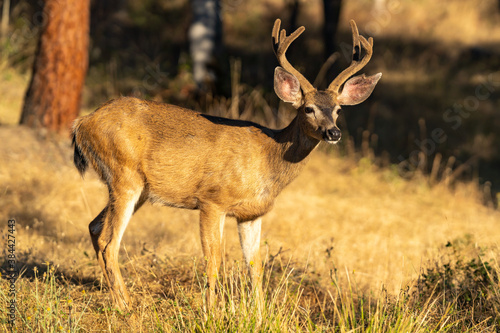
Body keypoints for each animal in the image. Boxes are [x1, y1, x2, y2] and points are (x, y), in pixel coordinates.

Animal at [72, 17, 380, 308]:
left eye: (338, 110)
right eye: (308, 109)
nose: (333, 133)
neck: (268, 157)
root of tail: (82, 123)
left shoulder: (251, 214)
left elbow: (255, 266)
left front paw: (259, 314)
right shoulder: (212, 200)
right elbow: (214, 260)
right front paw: (212, 311)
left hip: (140, 190)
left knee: (94, 227)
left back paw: (114, 295)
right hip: (124, 175)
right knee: (108, 241)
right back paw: (126, 305)